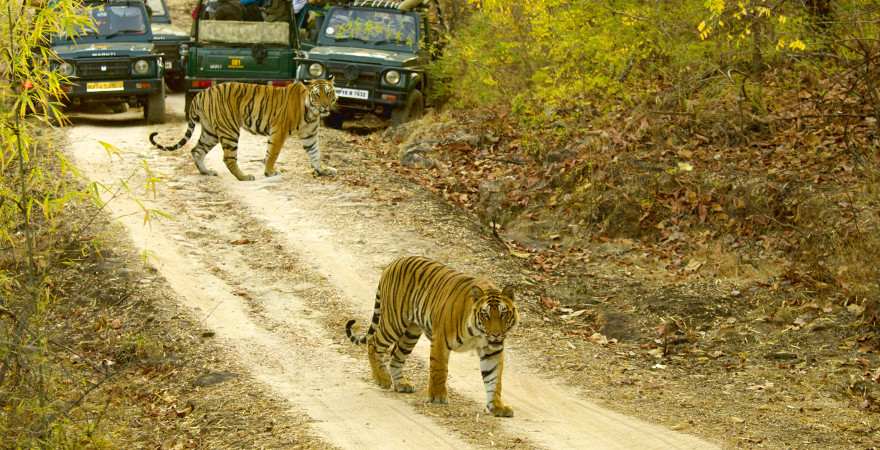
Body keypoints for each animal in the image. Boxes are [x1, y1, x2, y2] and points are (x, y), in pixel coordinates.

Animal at [148, 78, 337, 181]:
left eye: (329, 93)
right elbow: (273, 153)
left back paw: (206, 172)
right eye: (317, 95)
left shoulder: (310, 135)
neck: (312, 113)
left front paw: (323, 170)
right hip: (230, 130)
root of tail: (201, 94)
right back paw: (244, 177)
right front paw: (270, 172)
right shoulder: (279, 131)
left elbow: (315, 153)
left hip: (210, 132)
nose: (325, 106)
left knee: (197, 150)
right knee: (228, 158)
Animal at [346, 256, 519, 417]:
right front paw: (438, 397)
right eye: (485, 315)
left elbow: (494, 379)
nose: (496, 334)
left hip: (411, 332)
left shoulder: (492, 351)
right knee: (373, 343)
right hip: (394, 322)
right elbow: (439, 370)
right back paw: (382, 378)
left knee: (396, 356)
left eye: (503, 314)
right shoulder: (441, 340)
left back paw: (401, 384)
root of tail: (394, 262)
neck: (478, 334)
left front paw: (497, 406)